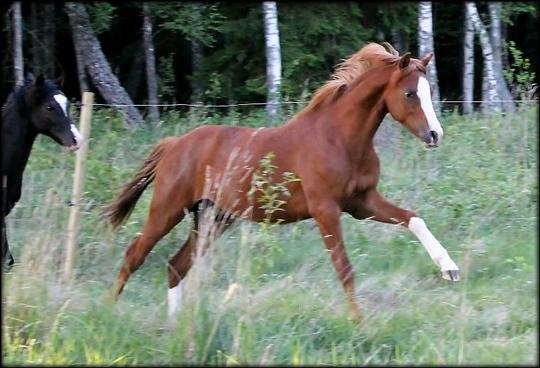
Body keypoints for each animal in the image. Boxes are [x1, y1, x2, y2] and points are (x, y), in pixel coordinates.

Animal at [104, 42, 460, 320]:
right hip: (168, 209)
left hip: (213, 217)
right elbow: (345, 269)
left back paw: (175, 326)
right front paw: (359, 324)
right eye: (410, 93)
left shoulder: (362, 203)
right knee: (135, 254)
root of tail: (176, 143)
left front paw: (449, 268)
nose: (435, 135)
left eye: (429, 91)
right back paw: (110, 313)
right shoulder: (325, 209)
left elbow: (412, 218)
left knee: (177, 265)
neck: (339, 139)